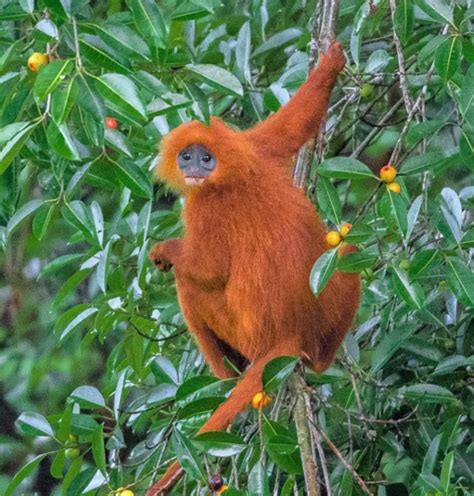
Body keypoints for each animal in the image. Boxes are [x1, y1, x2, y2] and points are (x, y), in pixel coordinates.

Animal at [148, 41, 360, 492]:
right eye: (186, 156)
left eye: (205, 158)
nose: (193, 168)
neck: (231, 174)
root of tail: (288, 334)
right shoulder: (254, 148)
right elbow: (292, 125)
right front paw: (331, 63)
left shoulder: (205, 206)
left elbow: (207, 270)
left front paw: (167, 249)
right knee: (348, 256)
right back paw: (318, 363)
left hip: (240, 332)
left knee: (189, 286)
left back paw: (227, 377)